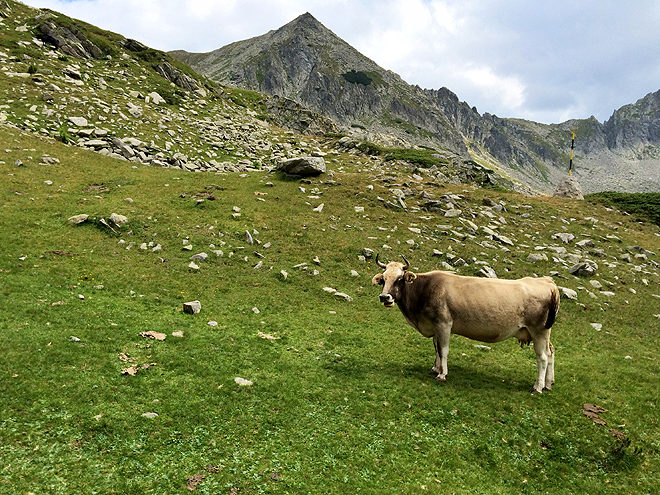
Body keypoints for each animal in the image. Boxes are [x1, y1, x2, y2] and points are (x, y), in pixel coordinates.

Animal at [374, 256, 560, 396]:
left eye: (399, 279)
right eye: (383, 279)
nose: (384, 297)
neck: (424, 289)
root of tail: (547, 282)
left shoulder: (444, 323)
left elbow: (443, 350)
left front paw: (442, 375)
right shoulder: (435, 325)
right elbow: (436, 348)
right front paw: (435, 368)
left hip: (539, 330)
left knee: (543, 357)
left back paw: (537, 387)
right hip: (542, 331)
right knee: (551, 351)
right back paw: (548, 383)